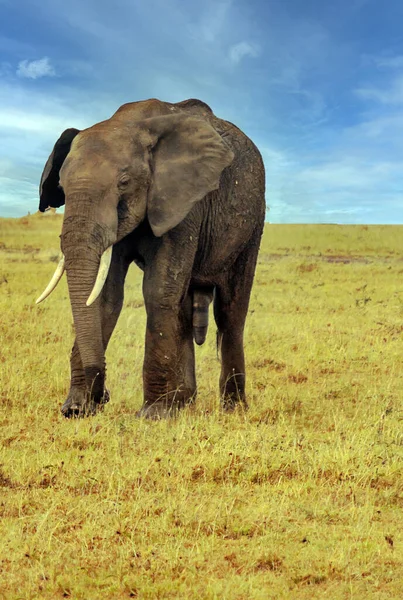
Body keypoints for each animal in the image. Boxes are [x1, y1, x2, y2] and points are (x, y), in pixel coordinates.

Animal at [36, 97, 266, 418]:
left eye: (124, 182)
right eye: (62, 186)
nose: (103, 396)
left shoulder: (183, 201)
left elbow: (157, 291)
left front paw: (154, 416)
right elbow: (105, 295)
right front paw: (76, 409)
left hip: (252, 224)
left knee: (230, 311)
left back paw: (232, 408)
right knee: (183, 307)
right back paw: (184, 403)